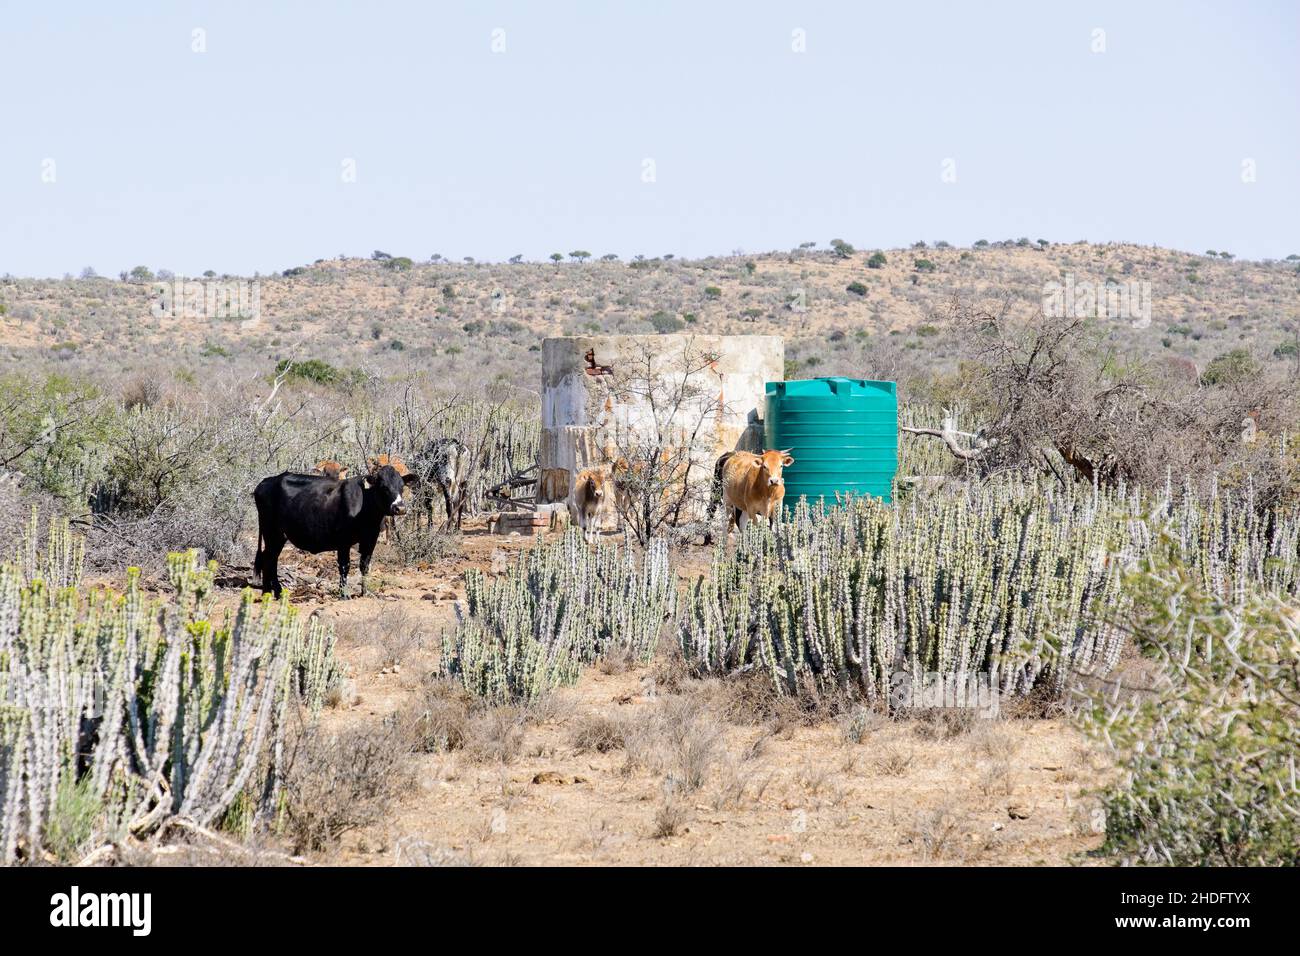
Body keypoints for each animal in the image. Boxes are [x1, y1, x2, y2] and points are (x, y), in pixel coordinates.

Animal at [252, 463, 416, 598]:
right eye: (383, 487)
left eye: (402, 486)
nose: (400, 508)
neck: (365, 505)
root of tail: (265, 482)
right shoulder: (343, 540)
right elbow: (344, 566)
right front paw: (344, 595)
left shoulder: (370, 539)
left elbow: (364, 566)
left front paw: (365, 593)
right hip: (272, 532)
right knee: (269, 559)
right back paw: (271, 592)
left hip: (277, 536)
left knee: (270, 558)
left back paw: (272, 592)